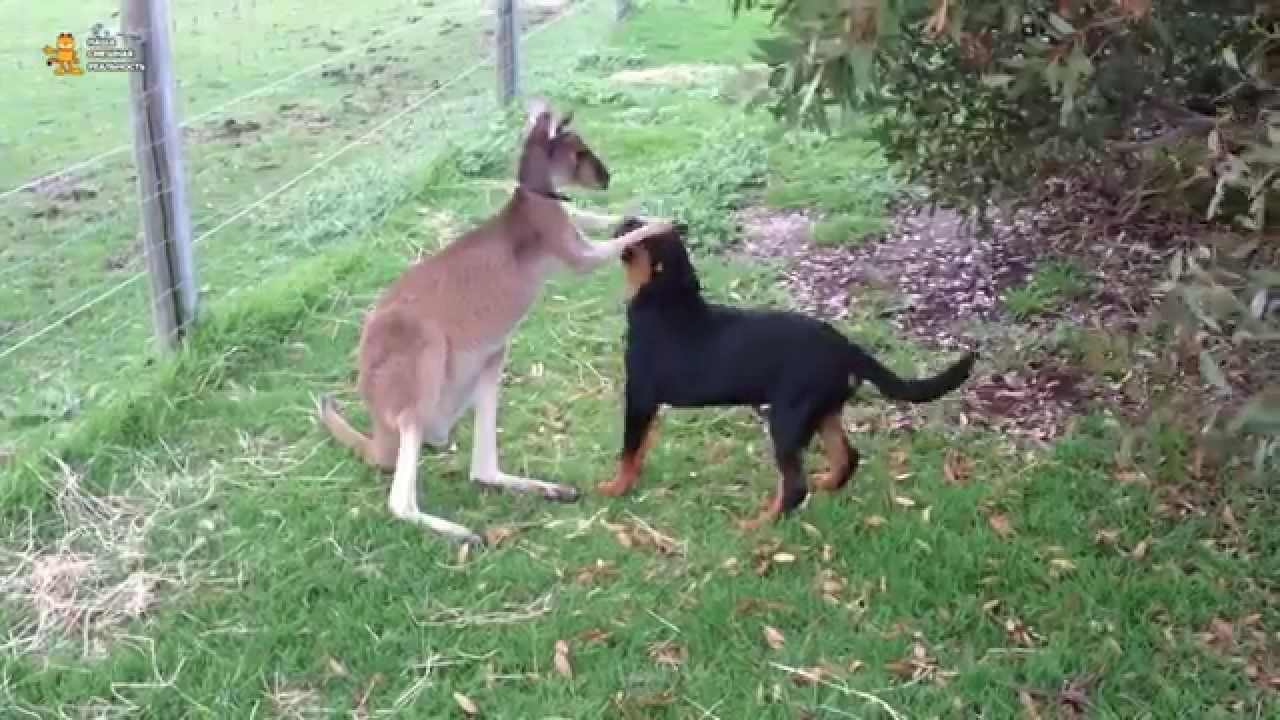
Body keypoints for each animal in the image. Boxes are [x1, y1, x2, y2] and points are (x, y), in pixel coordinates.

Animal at [318, 98, 675, 540]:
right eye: (579, 152)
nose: (607, 178)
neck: (537, 196)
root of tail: (377, 425)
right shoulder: (563, 242)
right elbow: (593, 254)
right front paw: (662, 224)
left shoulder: (565, 221)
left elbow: (594, 218)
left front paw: (643, 214)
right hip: (421, 361)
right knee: (401, 496)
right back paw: (463, 534)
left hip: (487, 360)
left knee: (479, 467)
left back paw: (549, 489)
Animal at [593, 215, 972, 525]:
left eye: (640, 233)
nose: (627, 217)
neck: (666, 301)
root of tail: (845, 347)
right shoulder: (649, 403)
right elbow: (640, 445)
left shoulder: (639, 394)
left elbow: (628, 449)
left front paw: (614, 488)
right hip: (821, 410)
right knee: (846, 457)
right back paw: (826, 484)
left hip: (787, 418)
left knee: (794, 486)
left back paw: (758, 524)